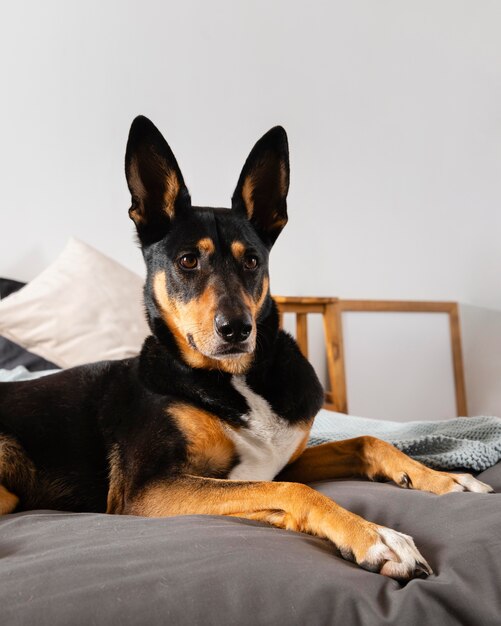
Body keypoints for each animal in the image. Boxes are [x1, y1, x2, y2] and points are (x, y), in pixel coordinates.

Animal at [0, 118, 492, 580]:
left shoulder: (283, 461)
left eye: (252, 261)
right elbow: (294, 490)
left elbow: (366, 441)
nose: (237, 329)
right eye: (188, 261)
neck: (235, 379)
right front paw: (377, 536)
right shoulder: (146, 490)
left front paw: (444, 478)